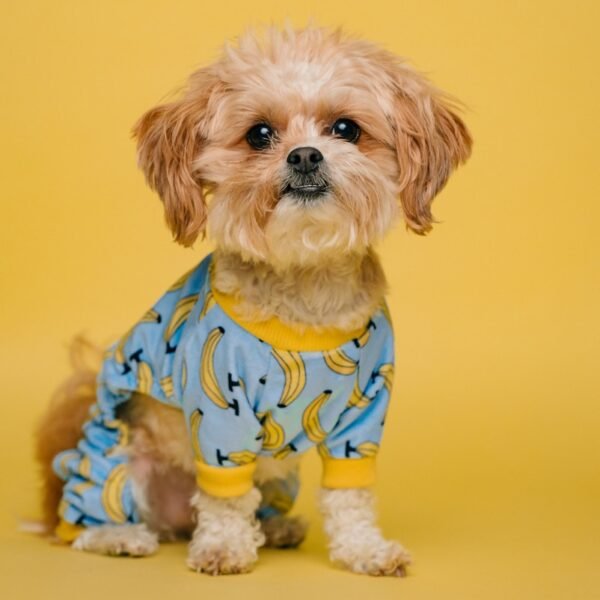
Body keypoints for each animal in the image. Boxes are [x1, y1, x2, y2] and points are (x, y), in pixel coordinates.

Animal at [34, 25, 474, 576]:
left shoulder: (365, 414)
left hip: (279, 473)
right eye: (259, 135)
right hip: (115, 454)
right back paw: (120, 535)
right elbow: (225, 497)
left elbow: (350, 495)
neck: (306, 285)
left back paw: (278, 527)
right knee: (86, 518)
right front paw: (224, 548)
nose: (305, 155)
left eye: (346, 128)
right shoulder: (220, 414)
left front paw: (365, 551)